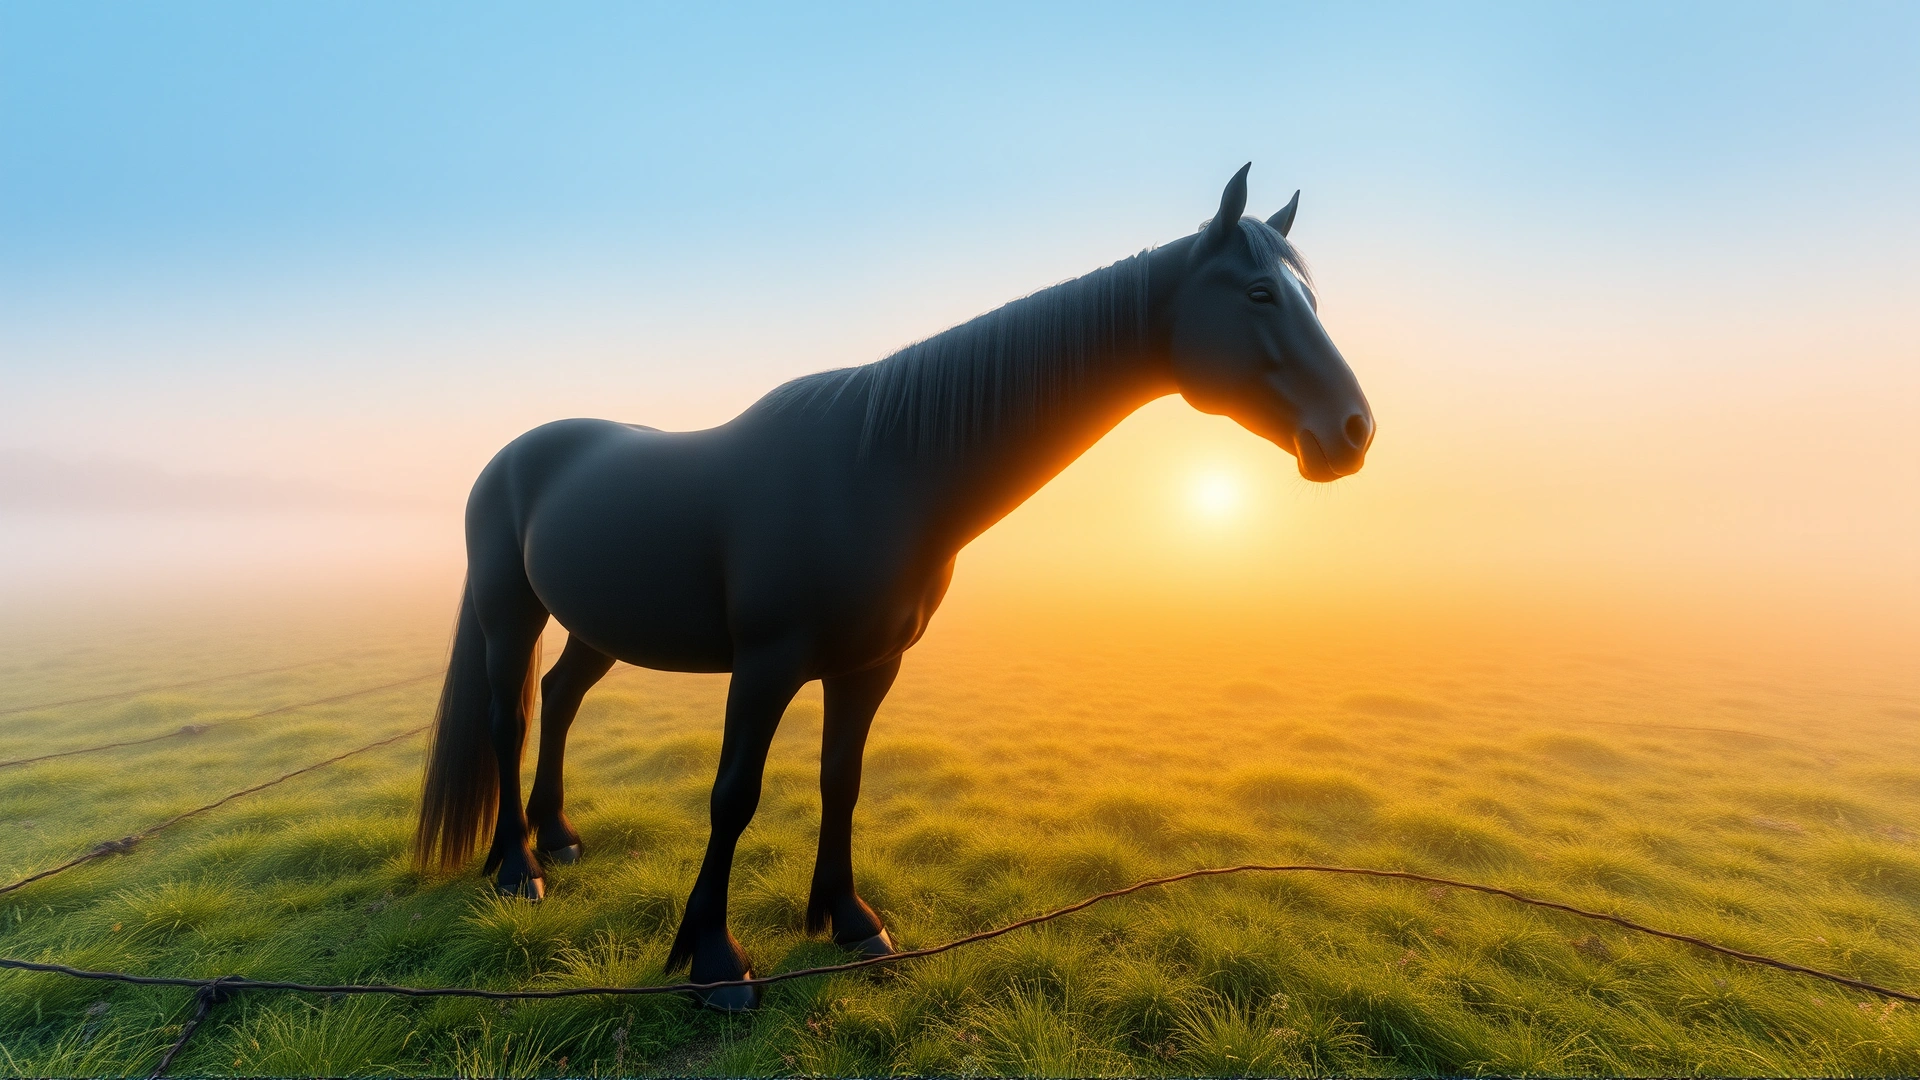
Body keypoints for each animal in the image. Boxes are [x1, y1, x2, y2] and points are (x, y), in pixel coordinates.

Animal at [413, 164, 1374, 1010]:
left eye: (1308, 297)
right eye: (1260, 295)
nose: (1354, 431)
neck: (878, 470)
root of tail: (513, 455)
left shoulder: (869, 666)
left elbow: (842, 781)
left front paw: (849, 922)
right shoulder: (765, 668)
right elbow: (734, 796)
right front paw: (716, 963)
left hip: (596, 626)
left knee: (560, 695)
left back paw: (560, 838)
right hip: (509, 612)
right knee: (507, 718)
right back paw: (519, 869)